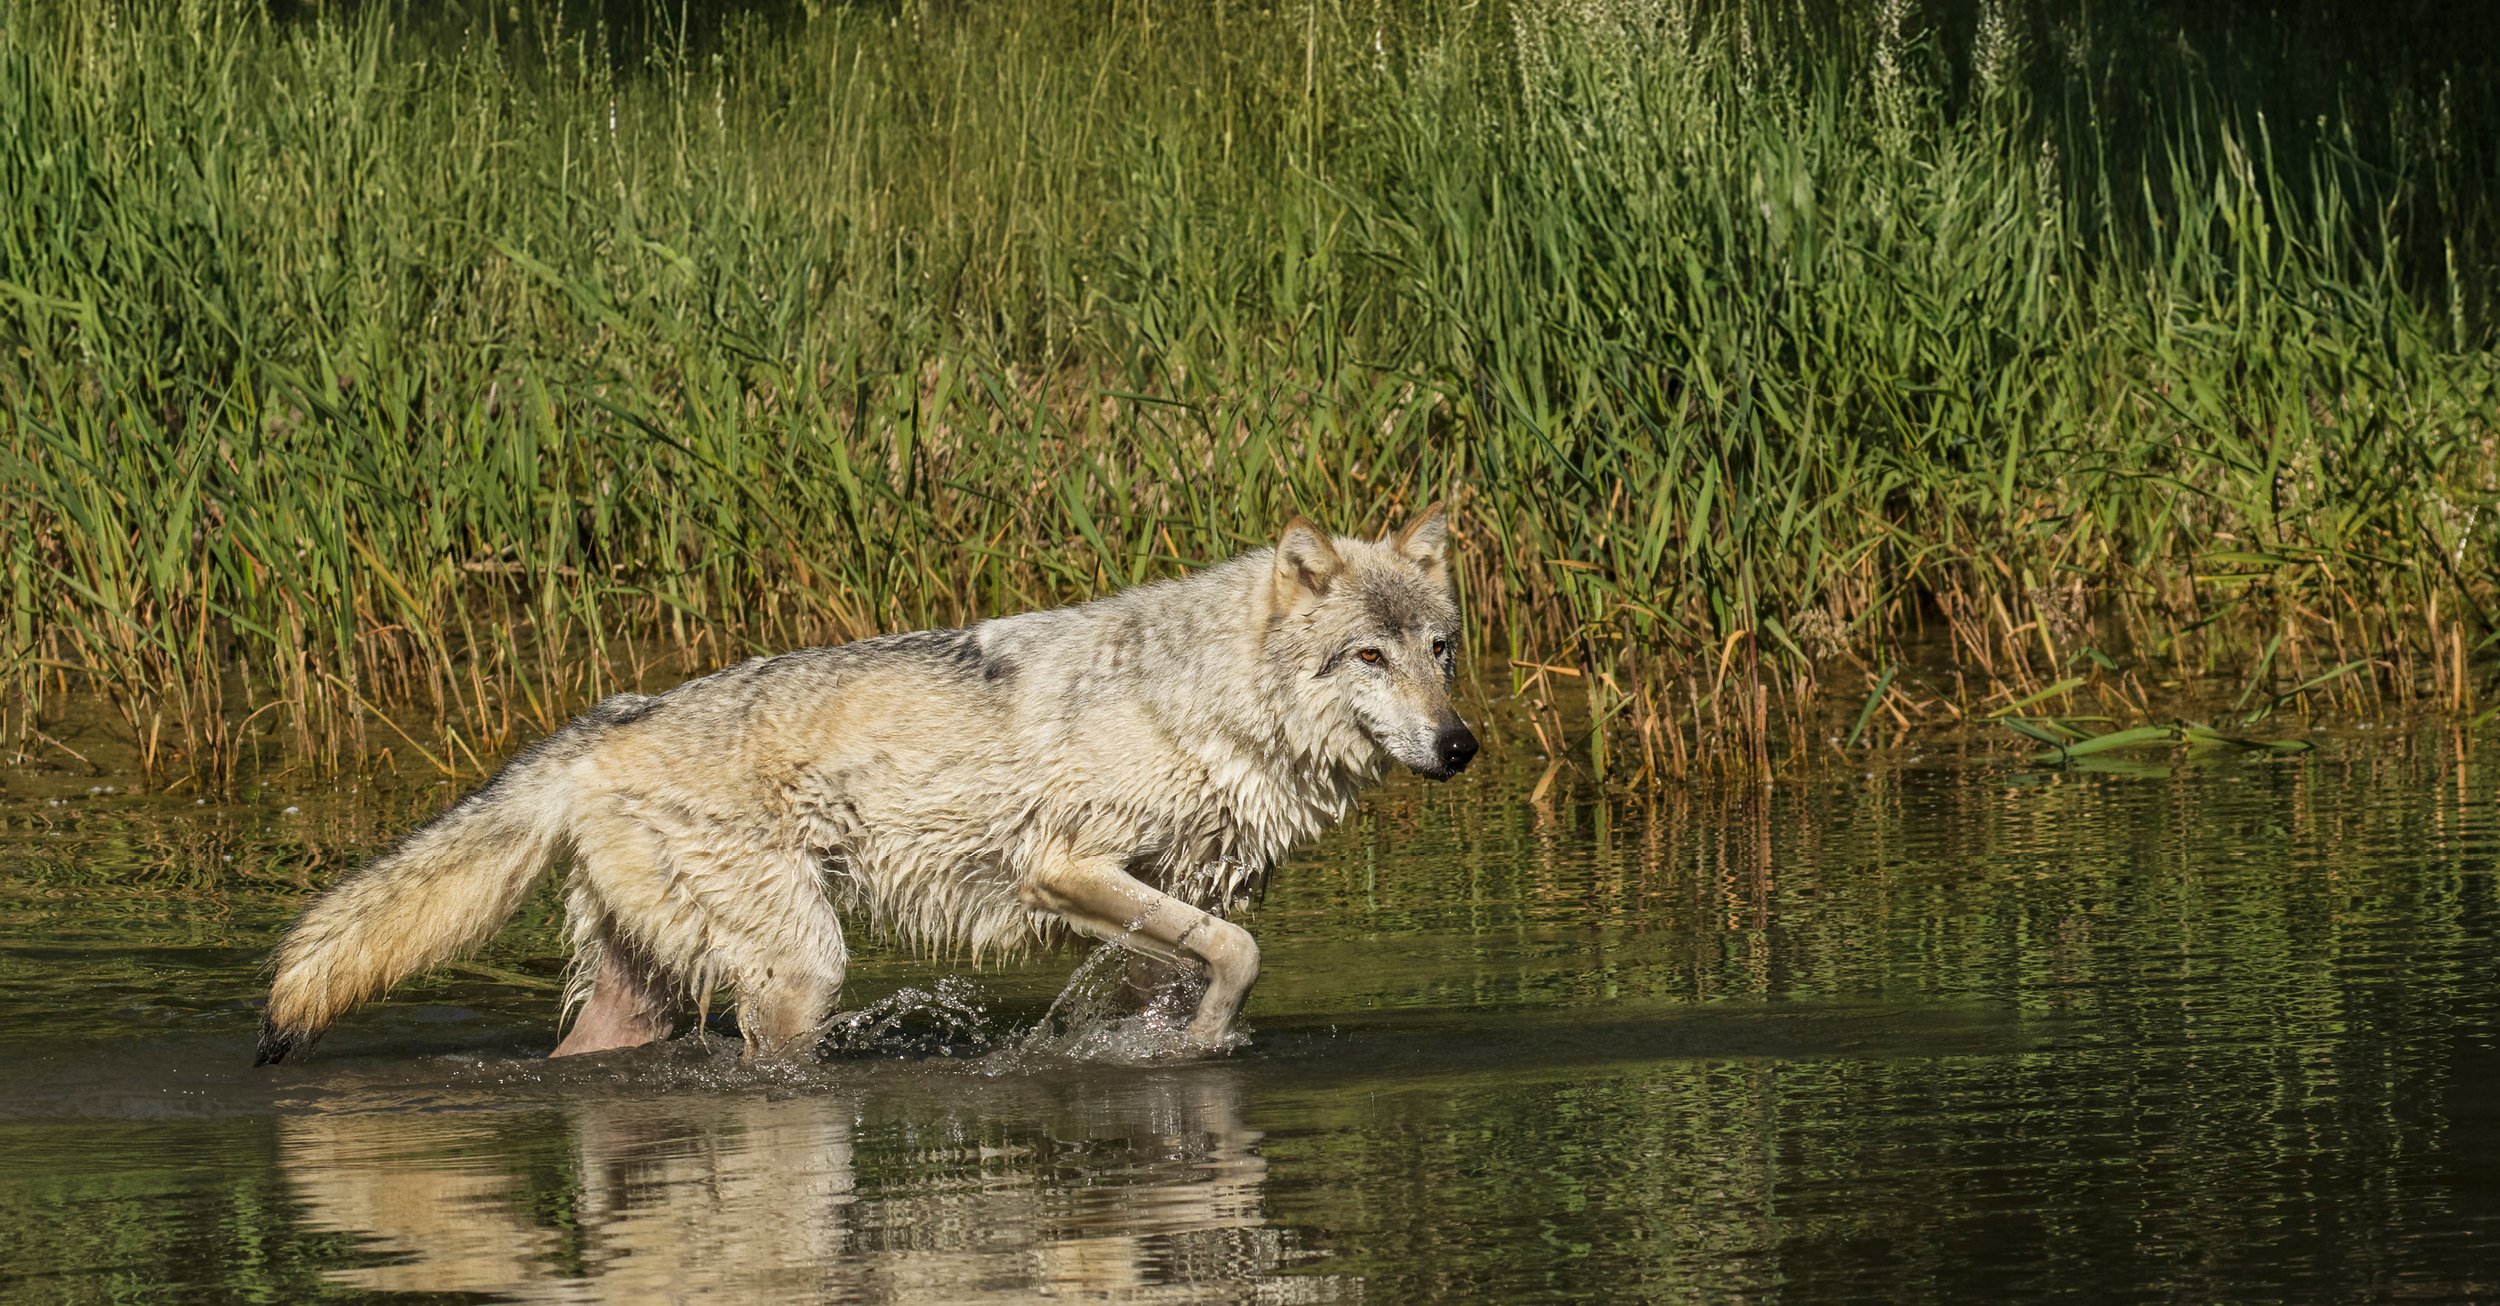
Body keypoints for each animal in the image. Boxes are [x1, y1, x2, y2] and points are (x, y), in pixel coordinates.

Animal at [256, 506, 1476, 1064]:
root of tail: (610, 721)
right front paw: (1205, 1043)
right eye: (1369, 657)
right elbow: (1243, 954)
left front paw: (1186, 1050)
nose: (1460, 745)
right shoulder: (1062, 870)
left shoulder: (1169, 901)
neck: (1206, 703)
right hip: (802, 973)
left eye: (1440, 651)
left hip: (645, 997)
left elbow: (1207, 963)